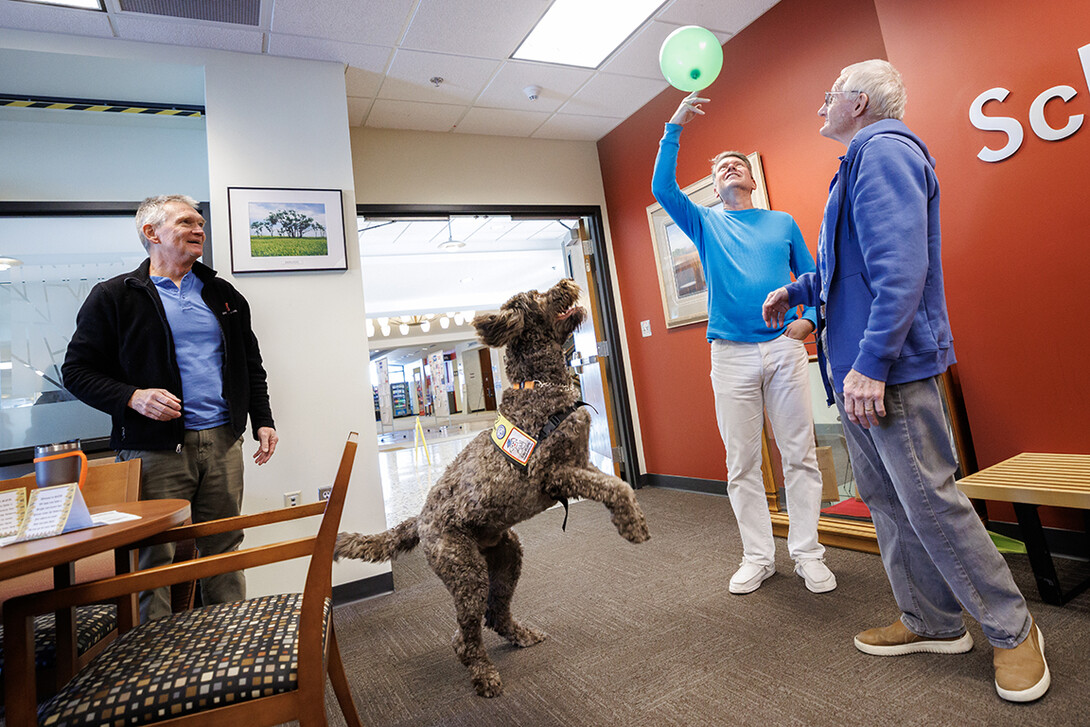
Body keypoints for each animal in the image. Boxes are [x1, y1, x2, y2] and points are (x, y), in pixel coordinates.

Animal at [335, 275, 649, 697]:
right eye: (538, 296)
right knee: (464, 637)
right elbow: (618, 488)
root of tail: (419, 520)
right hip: (465, 569)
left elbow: (613, 483)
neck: (540, 384)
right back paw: (483, 674)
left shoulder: (581, 463)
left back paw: (521, 635)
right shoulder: (552, 472)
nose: (566, 280)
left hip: (507, 555)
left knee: (495, 614)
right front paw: (633, 526)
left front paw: (629, 518)